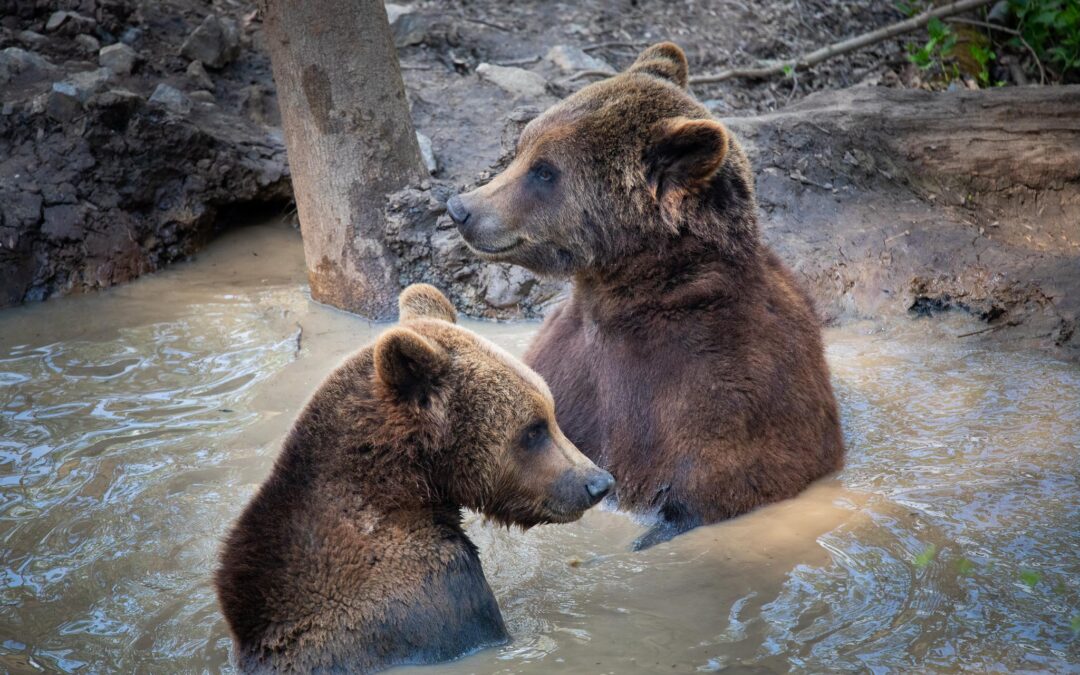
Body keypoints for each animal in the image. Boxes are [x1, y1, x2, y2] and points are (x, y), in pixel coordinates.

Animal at [446, 42, 844, 550]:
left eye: (545, 171)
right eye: (523, 148)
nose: (461, 208)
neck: (625, 290)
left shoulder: (715, 381)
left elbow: (709, 486)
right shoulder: (571, 361)